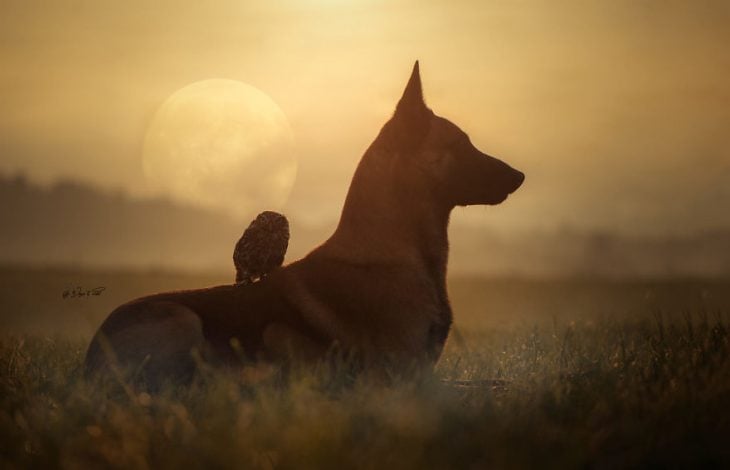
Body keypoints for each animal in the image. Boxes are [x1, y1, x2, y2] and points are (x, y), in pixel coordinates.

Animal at [85, 61, 524, 386]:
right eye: (461, 144)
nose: (520, 176)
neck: (393, 253)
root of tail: (86, 364)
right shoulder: (403, 376)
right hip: (183, 320)